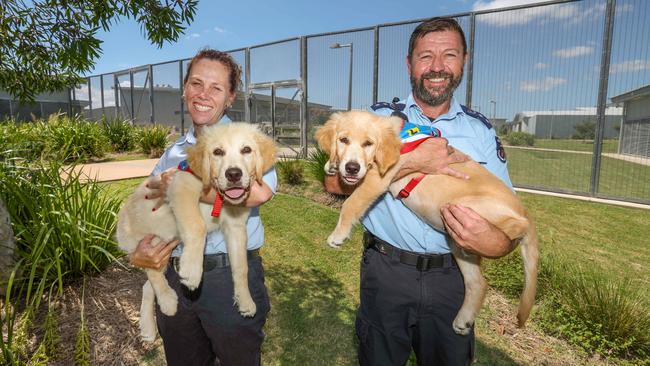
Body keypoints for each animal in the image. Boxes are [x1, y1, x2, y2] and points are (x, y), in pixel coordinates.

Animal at [116, 122, 276, 340]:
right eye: (217, 152)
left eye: (246, 150)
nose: (233, 174)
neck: (219, 198)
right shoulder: (181, 186)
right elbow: (197, 226)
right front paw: (192, 271)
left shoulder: (235, 227)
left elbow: (241, 267)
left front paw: (245, 300)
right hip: (155, 239)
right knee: (153, 275)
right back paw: (167, 300)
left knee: (147, 285)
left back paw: (148, 327)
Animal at [314, 111, 536, 334]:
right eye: (343, 140)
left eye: (368, 143)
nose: (352, 168)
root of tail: (524, 212)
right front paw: (332, 164)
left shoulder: (377, 178)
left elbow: (350, 203)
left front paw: (338, 235)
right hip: (457, 238)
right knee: (478, 283)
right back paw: (463, 320)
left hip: (466, 207)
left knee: (520, 228)